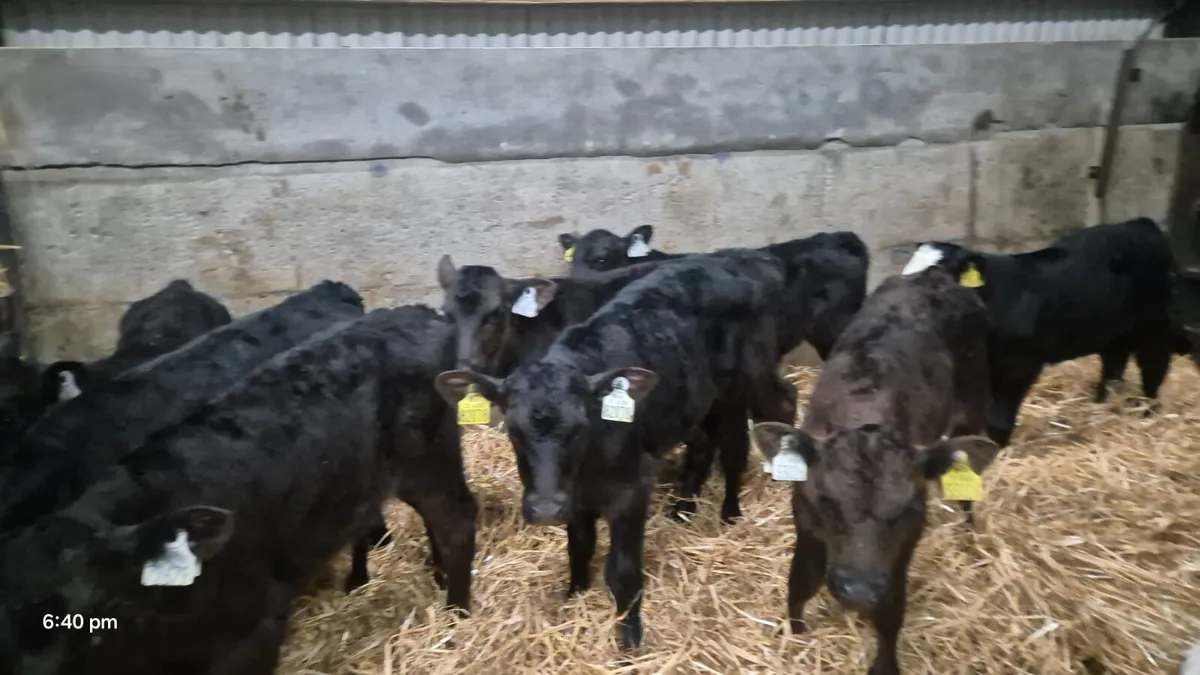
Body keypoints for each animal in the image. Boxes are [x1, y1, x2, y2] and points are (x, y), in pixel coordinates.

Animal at [435, 250, 786, 649]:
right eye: (514, 431)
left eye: (494, 314)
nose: (545, 510)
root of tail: (745, 259)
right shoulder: (573, 496)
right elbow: (578, 546)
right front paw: (574, 595)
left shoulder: (632, 489)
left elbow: (623, 571)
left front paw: (630, 638)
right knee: (706, 441)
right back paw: (683, 508)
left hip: (741, 384)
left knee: (742, 440)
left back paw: (731, 512)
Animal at [751, 266, 1000, 675]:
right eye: (827, 502)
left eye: (904, 510)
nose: (860, 589)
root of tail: (933, 276)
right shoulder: (804, 517)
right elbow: (801, 579)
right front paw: (795, 636)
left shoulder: (906, 540)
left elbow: (891, 608)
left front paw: (885, 663)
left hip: (974, 404)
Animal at [901, 217, 1188, 446]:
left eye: (938, 279)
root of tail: (1141, 224)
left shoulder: (1020, 365)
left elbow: (1000, 417)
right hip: (1112, 331)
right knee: (1113, 365)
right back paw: (1100, 406)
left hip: (1154, 324)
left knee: (1153, 368)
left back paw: (1147, 414)